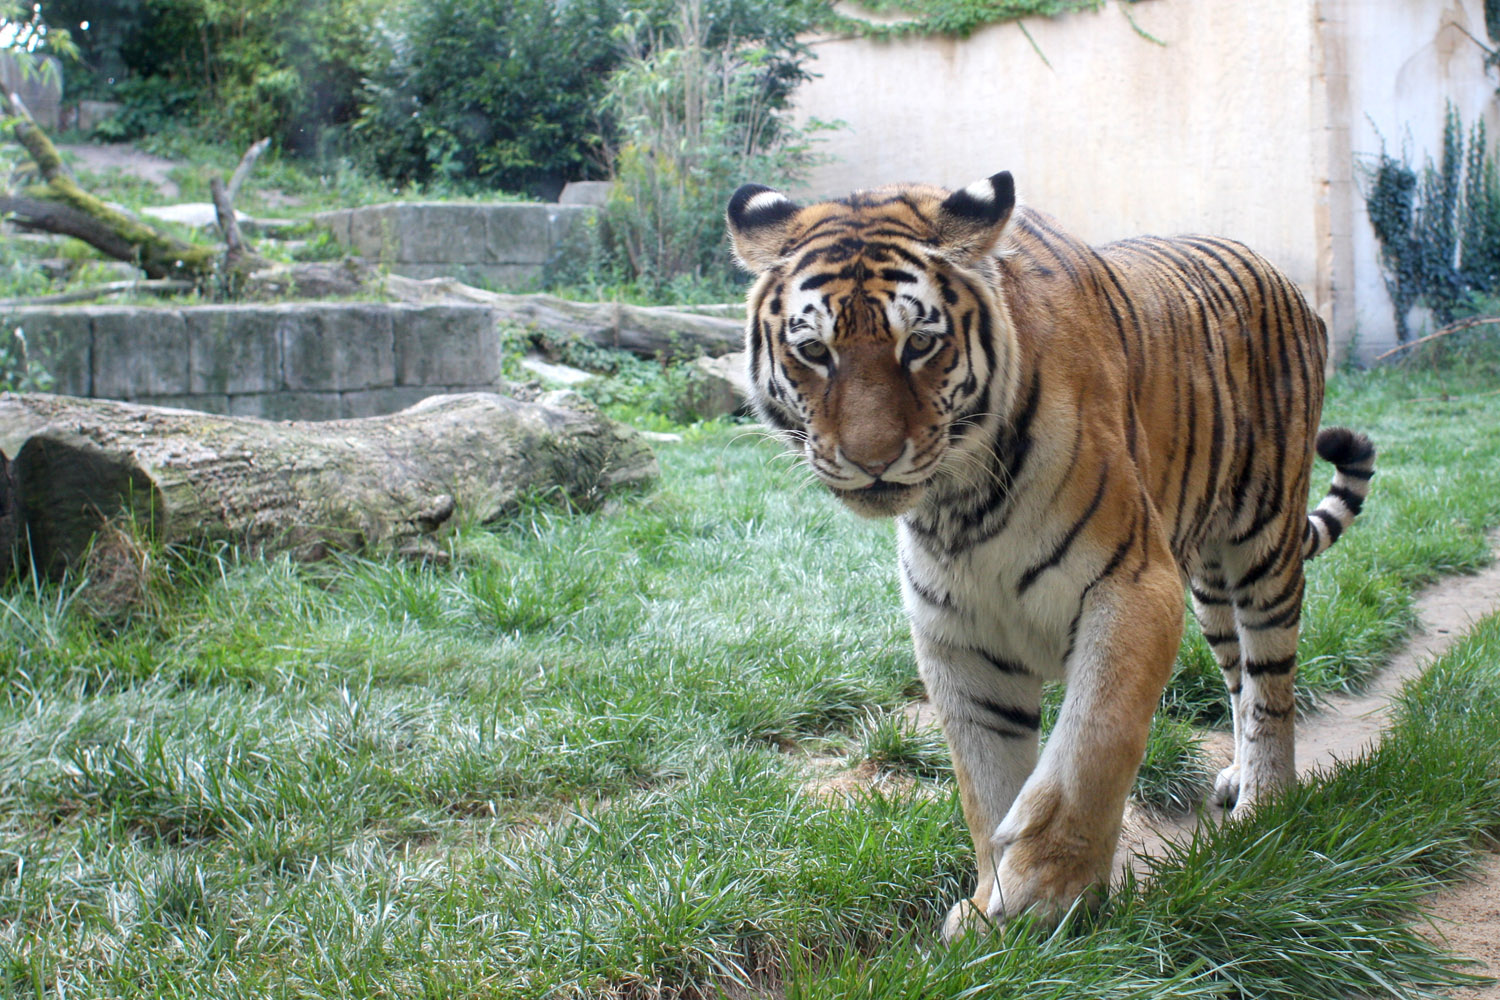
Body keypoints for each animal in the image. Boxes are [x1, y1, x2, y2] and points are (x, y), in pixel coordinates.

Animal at [723, 170, 1374, 941]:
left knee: (1271, 686)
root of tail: (1279, 273)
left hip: (1263, 548)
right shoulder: (958, 636)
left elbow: (1091, 744)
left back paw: (1266, 804)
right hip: (1210, 585)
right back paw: (1240, 781)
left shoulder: (1133, 586)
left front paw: (1045, 893)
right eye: (815, 351)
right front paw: (989, 911)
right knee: (1240, 679)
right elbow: (986, 783)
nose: (872, 459)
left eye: (920, 344)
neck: (960, 507)